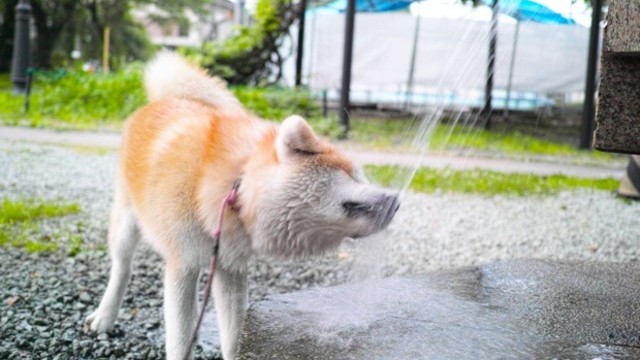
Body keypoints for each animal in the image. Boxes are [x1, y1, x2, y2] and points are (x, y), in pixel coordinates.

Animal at [85, 52, 400, 360]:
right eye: (353, 174)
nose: (396, 201)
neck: (237, 184)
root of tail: (163, 100)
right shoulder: (183, 265)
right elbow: (180, 339)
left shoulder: (229, 267)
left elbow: (234, 335)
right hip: (126, 223)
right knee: (122, 267)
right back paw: (105, 315)